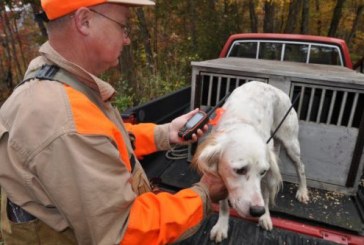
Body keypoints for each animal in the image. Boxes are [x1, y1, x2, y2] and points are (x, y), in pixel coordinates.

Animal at [192, 81, 308, 242]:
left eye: (263, 172)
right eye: (240, 170)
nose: (257, 211)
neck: (242, 123)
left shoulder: (266, 175)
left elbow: (265, 196)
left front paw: (265, 217)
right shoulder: (221, 176)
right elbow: (224, 205)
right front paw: (222, 226)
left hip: (291, 143)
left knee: (301, 167)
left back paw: (303, 191)